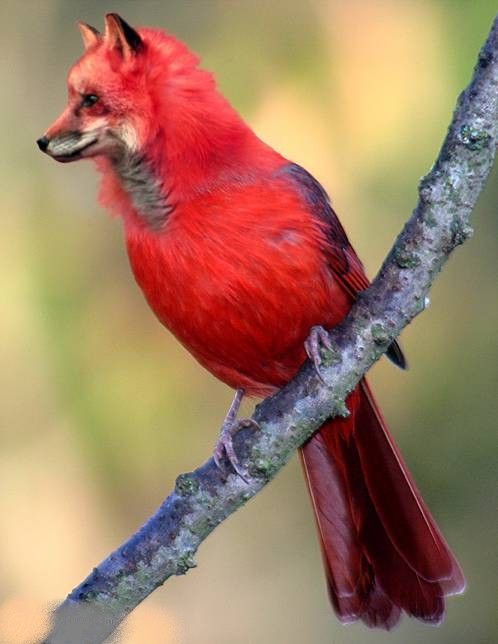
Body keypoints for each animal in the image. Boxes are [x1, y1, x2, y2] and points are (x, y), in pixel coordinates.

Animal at [38, 13, 464, 630]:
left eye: (90, 99)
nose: (44, 141)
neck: (187, 196)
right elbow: (237, 393)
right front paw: (224, 437)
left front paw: (315, 340)